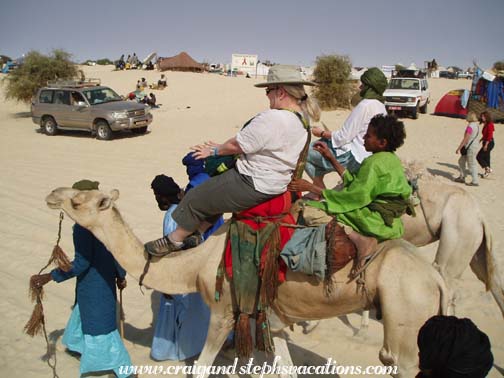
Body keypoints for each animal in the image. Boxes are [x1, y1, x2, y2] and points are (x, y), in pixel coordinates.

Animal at [46, 187, 448, 378]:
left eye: (79, 201)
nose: (52, 194)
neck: (195, 264)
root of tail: (437, 279)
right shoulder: (273, 320)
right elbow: (286, 368)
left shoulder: (224, 312)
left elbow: (201, 368)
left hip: (406, 316)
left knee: (398, 360)